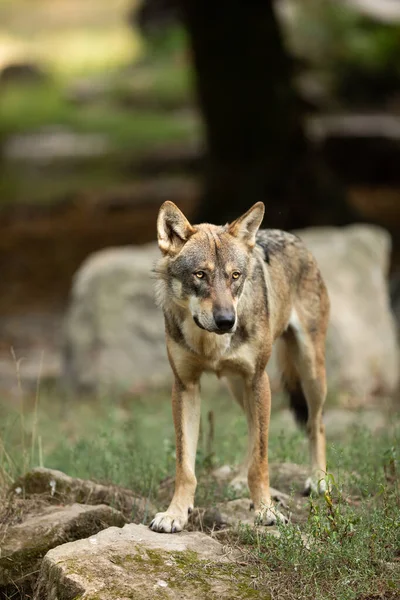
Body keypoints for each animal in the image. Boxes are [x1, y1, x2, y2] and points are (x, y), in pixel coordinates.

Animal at [149, 203, 328, 536]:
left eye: (235, 276)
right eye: (200, 274)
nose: (226, 321)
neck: (209, 342)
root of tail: (292, 236)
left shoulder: (258, 379)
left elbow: (261, 461)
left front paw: (266, 511)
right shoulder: (185, 386)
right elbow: (185, 465)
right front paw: (175, 513)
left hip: (310, 372)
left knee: (316, 423)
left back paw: (319, 479)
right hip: (237, 387)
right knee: (251, 427)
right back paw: (237, 480)